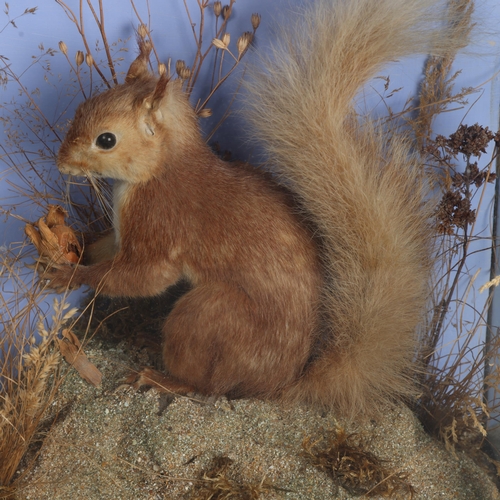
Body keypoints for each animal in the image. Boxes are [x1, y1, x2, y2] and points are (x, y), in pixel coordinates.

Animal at [45, 0, 470, 416]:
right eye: (83, 106)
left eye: (107, 140)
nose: (60, 161)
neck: (160, 170)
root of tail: (278, 387)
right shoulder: (123, 232)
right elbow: (106, 247)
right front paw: (64, 251)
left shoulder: (160, 225)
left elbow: (140, 277)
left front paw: (70, 276)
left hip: (204, 316)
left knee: (207, 387)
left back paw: (160, 377)